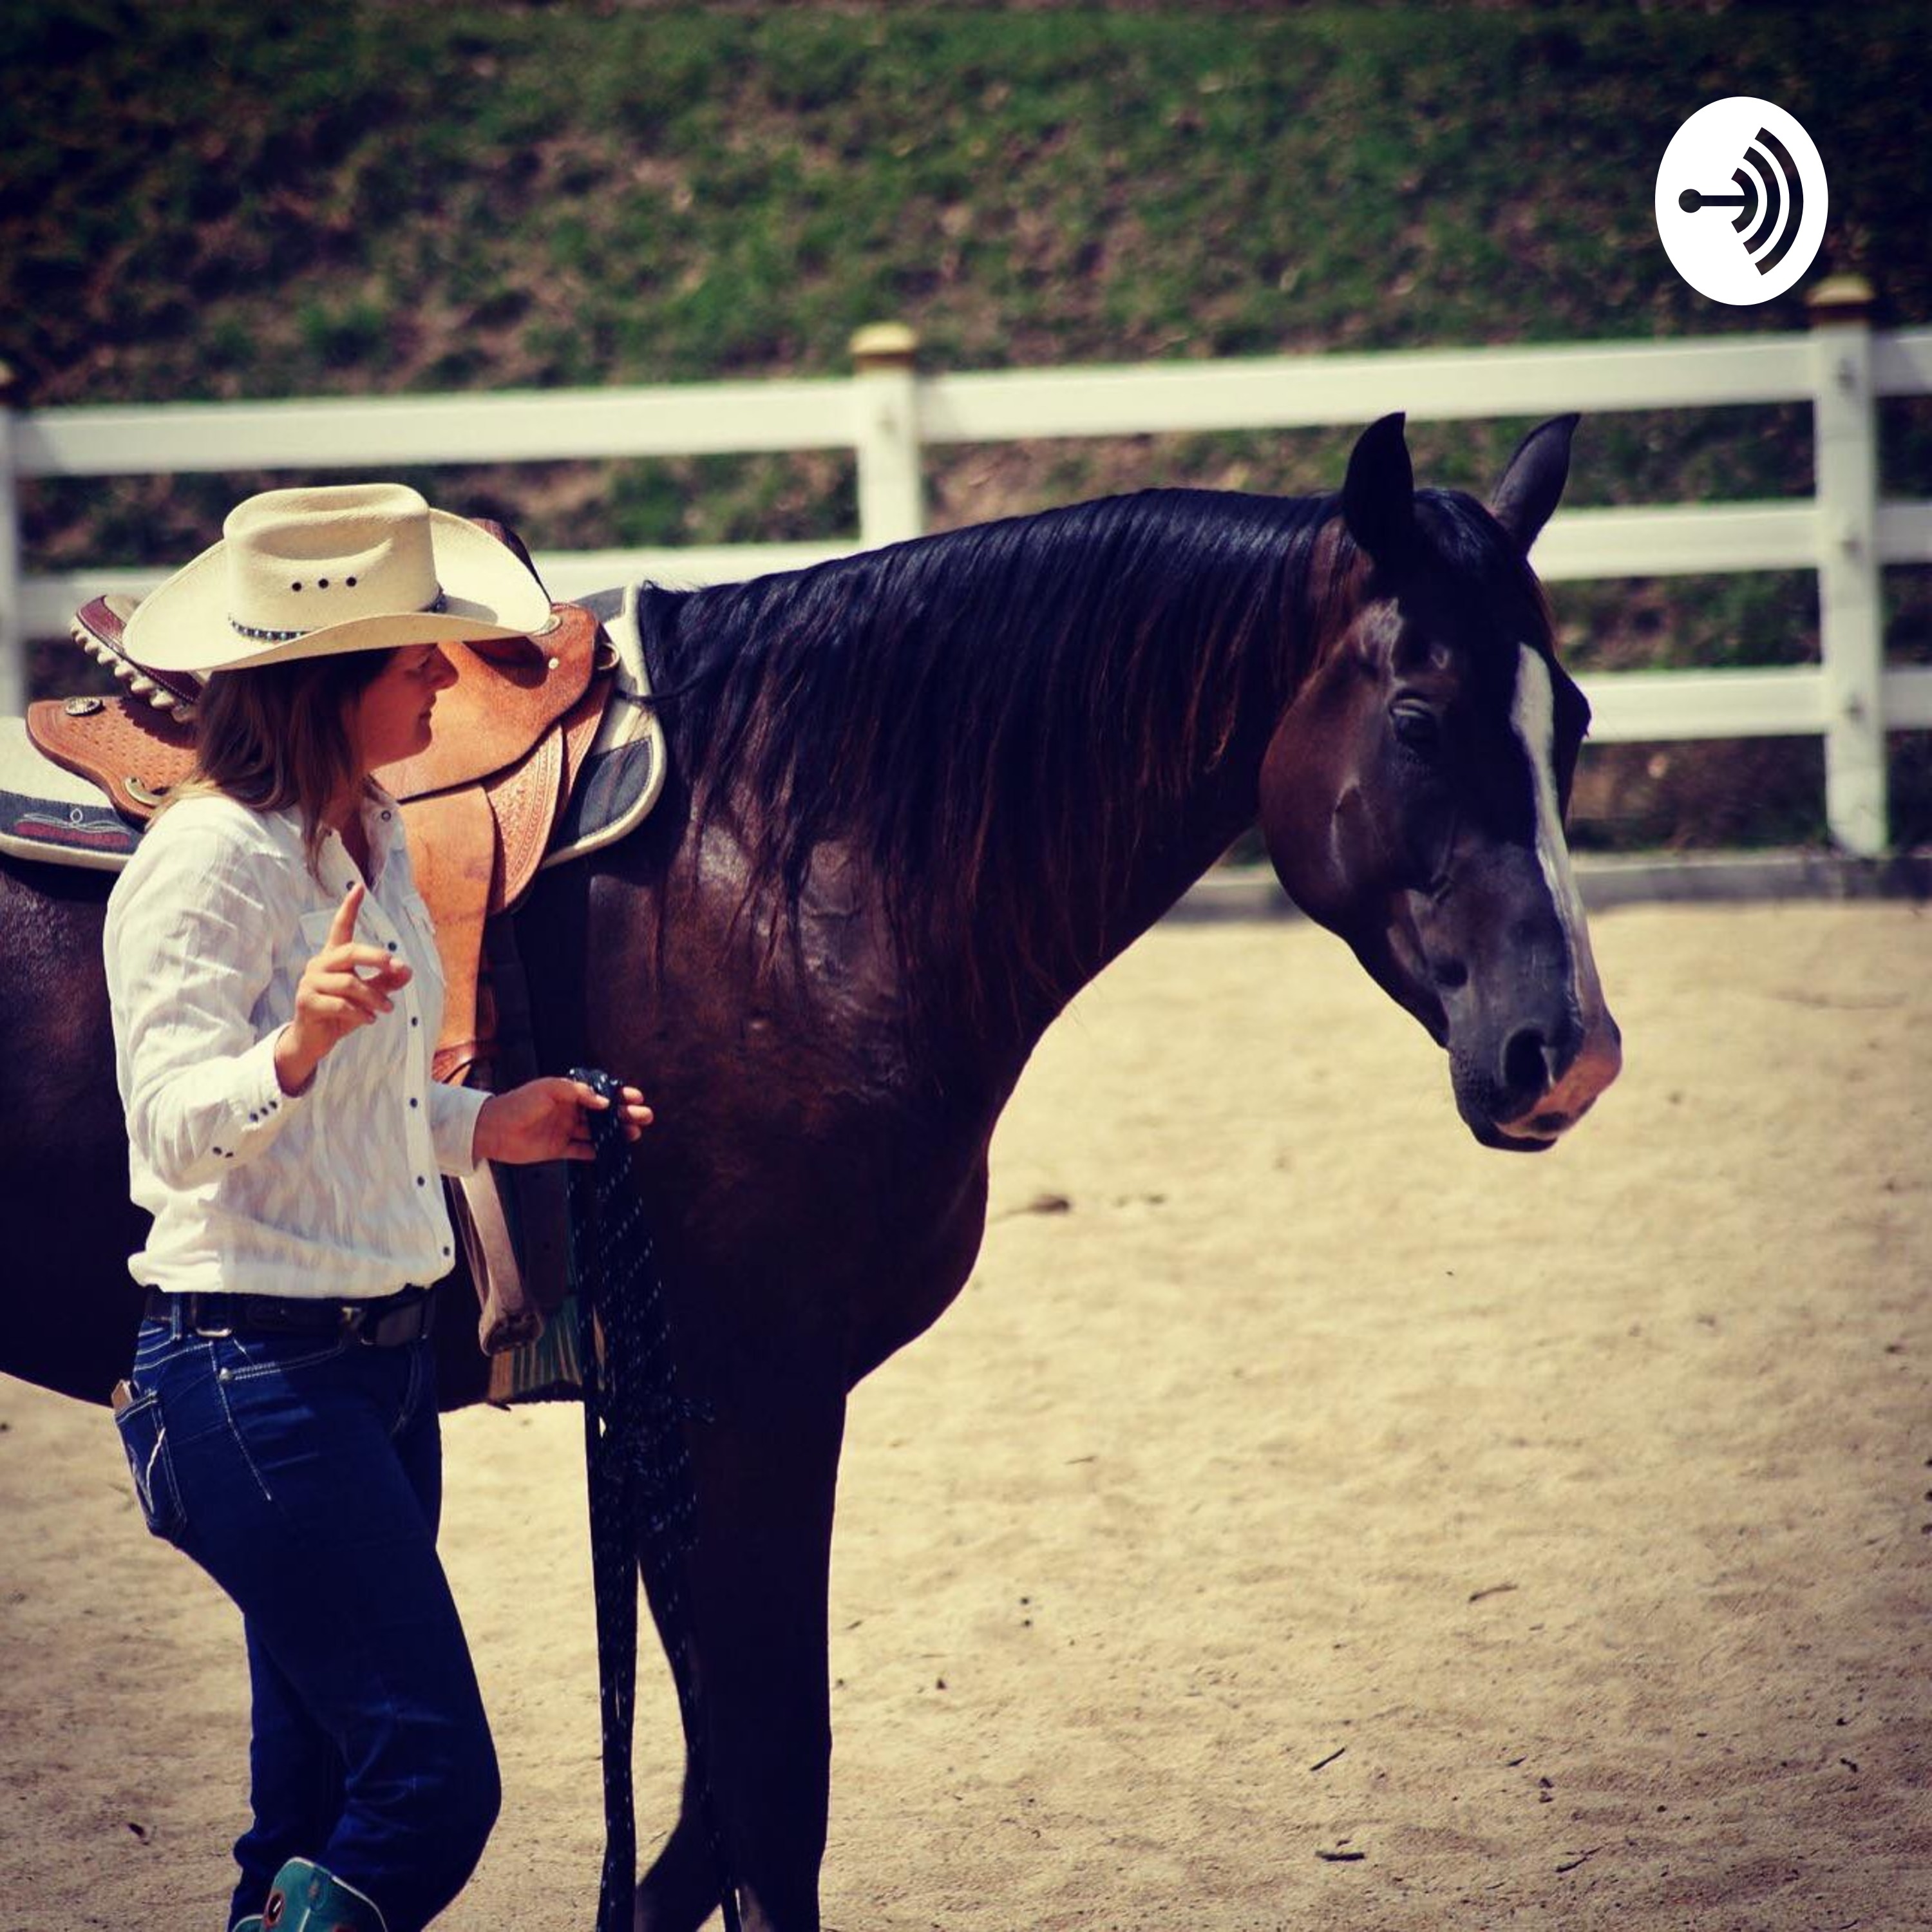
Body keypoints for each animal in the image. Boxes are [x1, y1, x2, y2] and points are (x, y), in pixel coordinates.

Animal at [0, 413, 1619, 1930]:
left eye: (1576, 721)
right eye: (1417, 716)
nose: (1570, 1052)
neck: (787, 864)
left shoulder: (665, 1413)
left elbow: (706, 1816)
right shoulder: (753, 1404)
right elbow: (776, 1801)